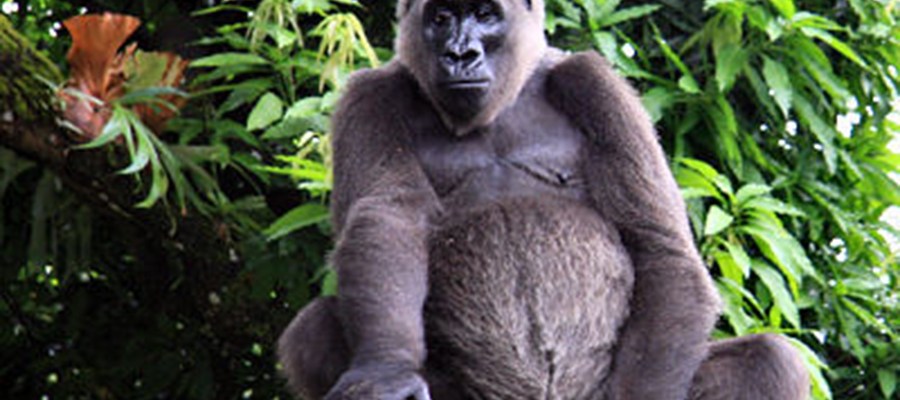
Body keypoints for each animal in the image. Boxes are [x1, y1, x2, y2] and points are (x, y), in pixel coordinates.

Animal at [277, 0, 811, 399]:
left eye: (486, 14)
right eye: (442, 17)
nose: (460, 54)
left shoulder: (594, 83)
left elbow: (657, 243)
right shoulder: (370, 94)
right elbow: (386, 217)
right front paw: (387, 368)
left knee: (770, 361)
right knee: (314, 329)